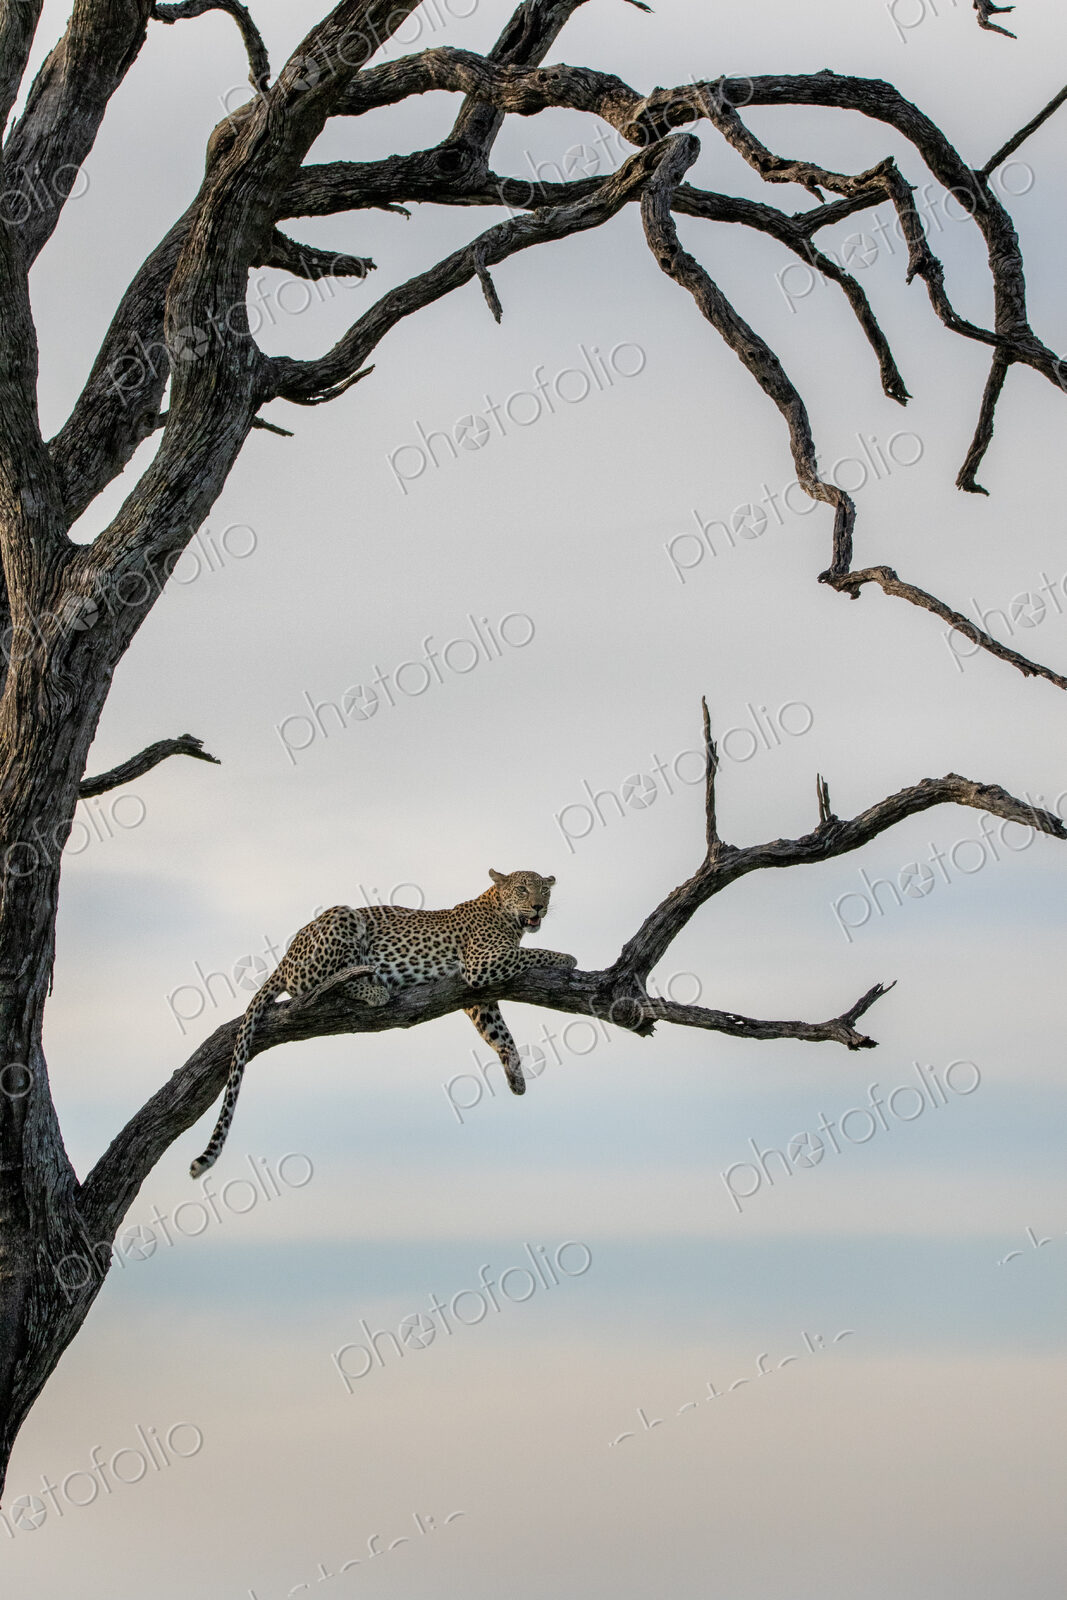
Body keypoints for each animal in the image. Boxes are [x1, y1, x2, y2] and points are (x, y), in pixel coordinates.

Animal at [189, 868, 575, 1177]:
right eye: (522, 889)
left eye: (545, 890)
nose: (539, 907)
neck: (504, 916)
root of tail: (284, 958)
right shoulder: (483, 963)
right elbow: (532, 954)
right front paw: (566, 958)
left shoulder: (478, 995)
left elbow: (499, 1033)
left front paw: (516, 1076)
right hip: (341, 919)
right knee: (320, 984)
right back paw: (373, 988)